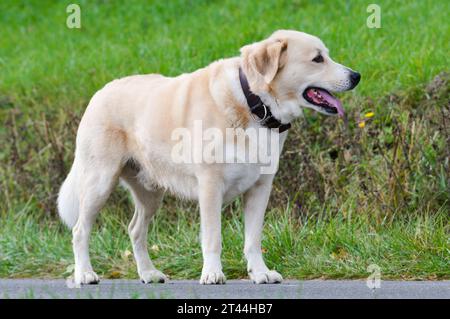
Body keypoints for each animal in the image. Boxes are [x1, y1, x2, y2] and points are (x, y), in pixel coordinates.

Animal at [59, 29, 362, 284]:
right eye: (317, 59)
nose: (356, 76)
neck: (254, 103)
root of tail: (100, 92)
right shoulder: (210, 186)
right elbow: (213, 238)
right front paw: (213, 274)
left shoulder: (260, 188)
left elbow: (253, 239)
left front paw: (260, 273)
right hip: (100, 182)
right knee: (80, 230)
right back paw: (85, 274)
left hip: (150, 192)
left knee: (135, 230)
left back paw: (148, 273)